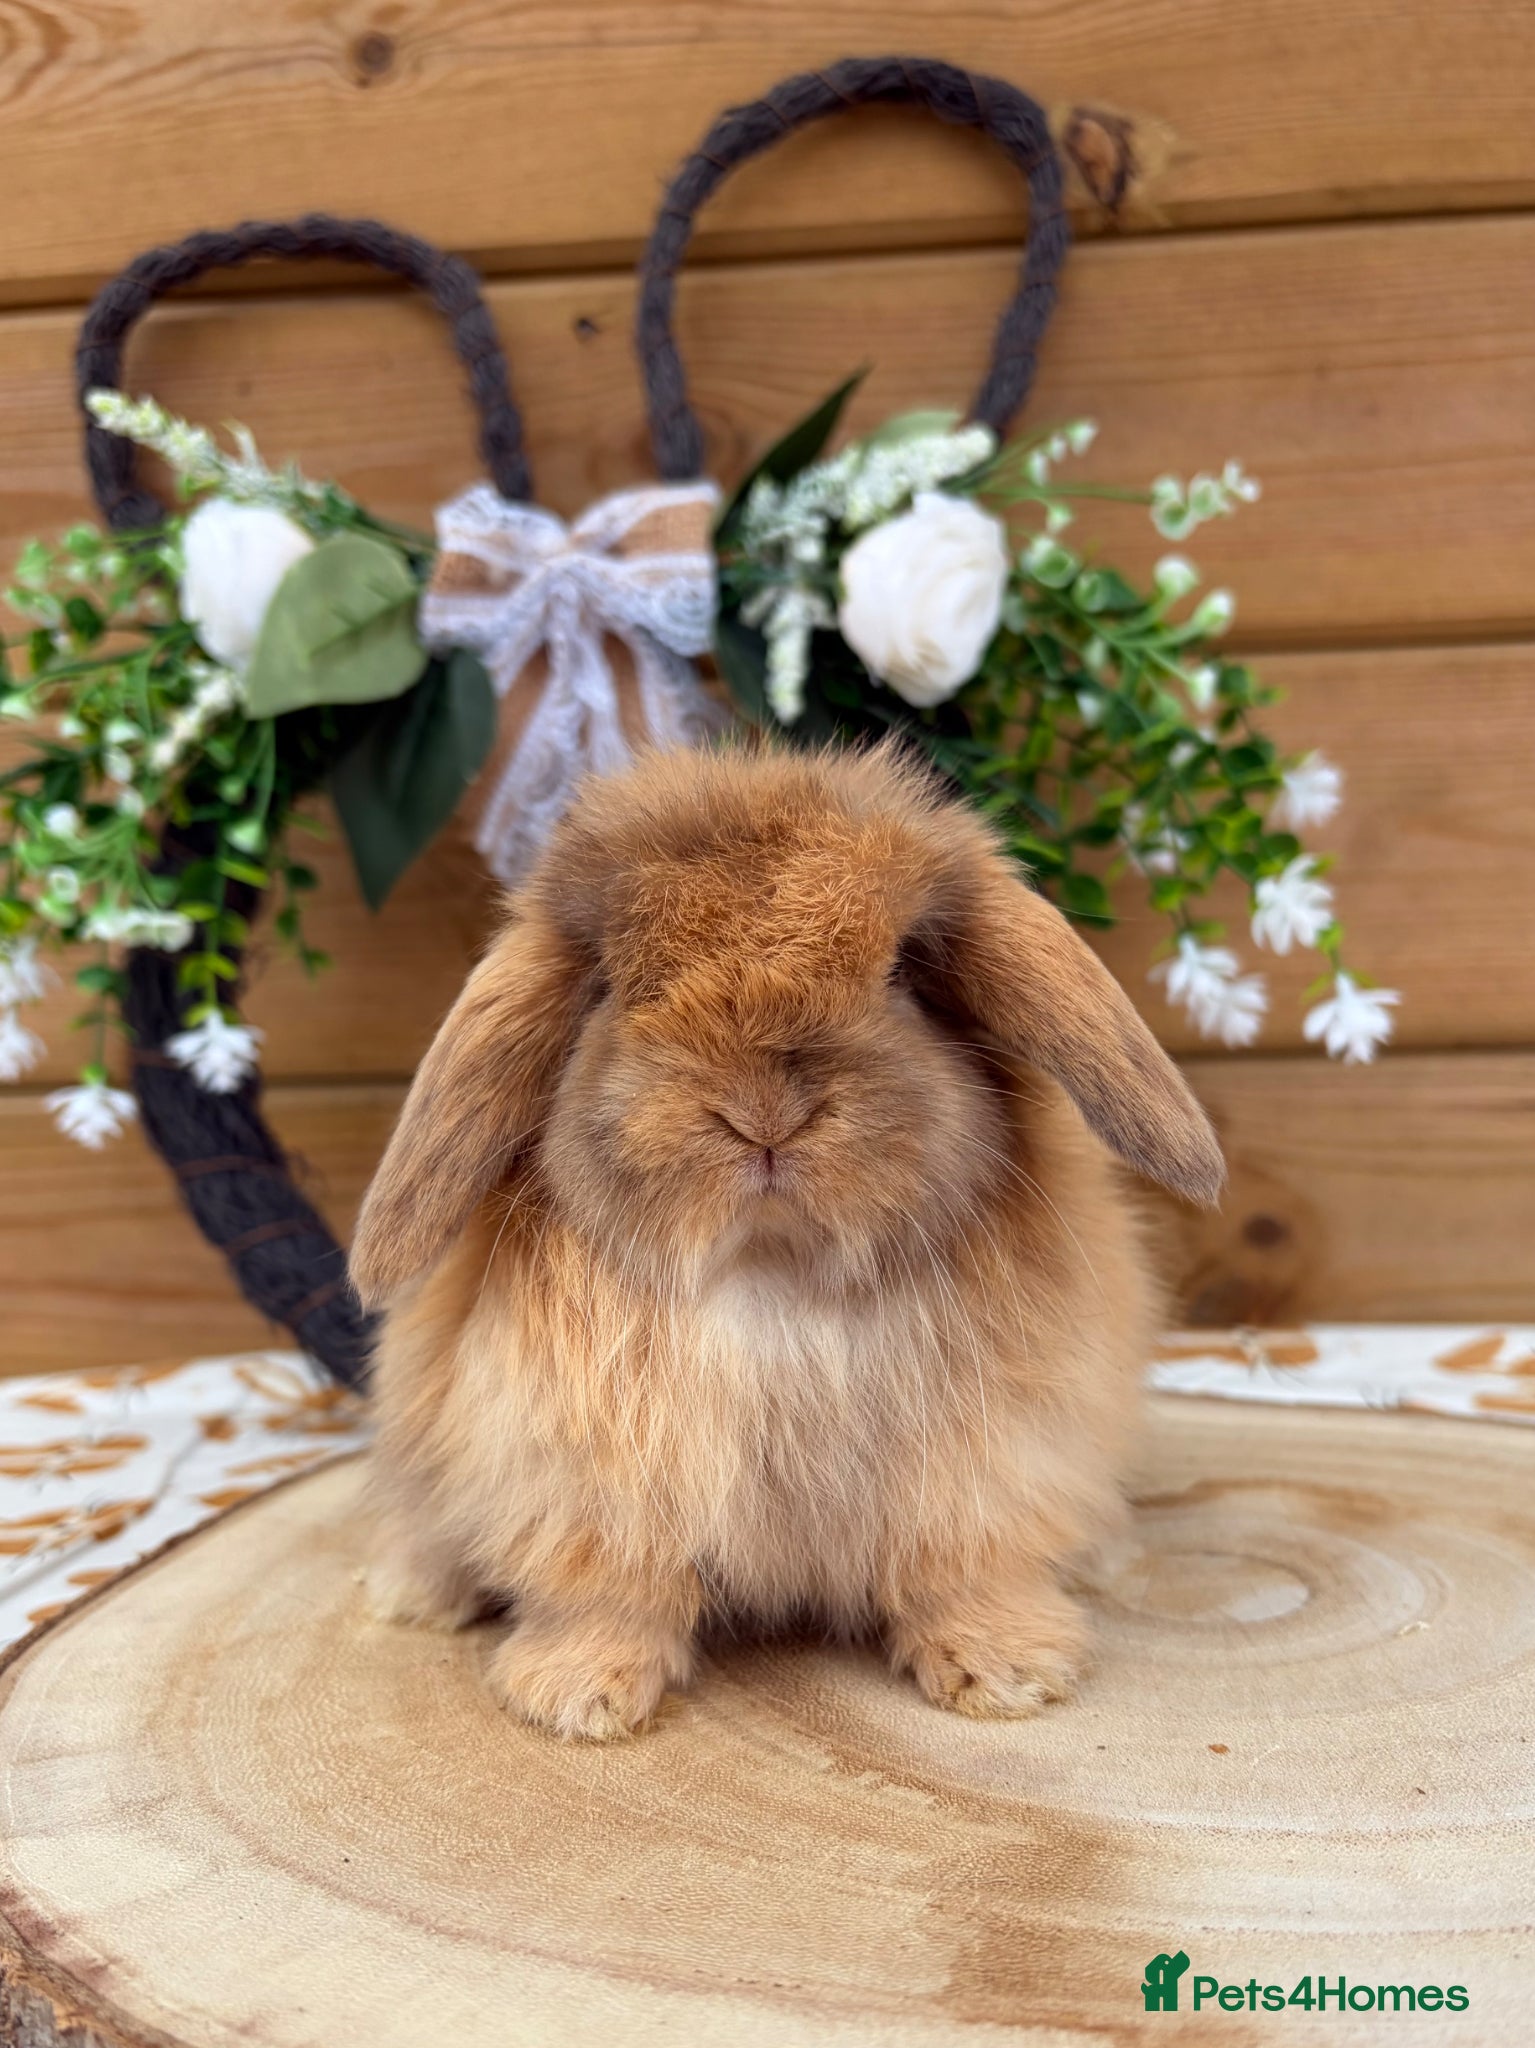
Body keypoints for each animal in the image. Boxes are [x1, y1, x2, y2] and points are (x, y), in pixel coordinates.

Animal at [350, 738, 1224, 1740]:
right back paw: (412, 1594)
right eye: (609, 988)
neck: (772, 1274)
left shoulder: (984, 1471)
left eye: (903, 972)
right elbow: (607, 1591)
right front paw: (578, 1697)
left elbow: (963, 1569)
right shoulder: (584, 1486)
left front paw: (1008, 1673)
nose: (762, 1115)